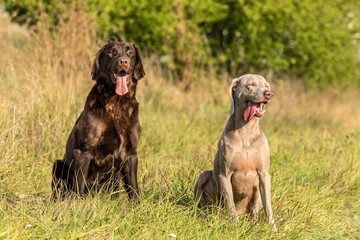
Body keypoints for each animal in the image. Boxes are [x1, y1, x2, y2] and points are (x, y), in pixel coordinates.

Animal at [51, 41, 146, 201]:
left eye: (130, 53)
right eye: (112, 53)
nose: (123, 61)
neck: (116, 102)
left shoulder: (130, 153)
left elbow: (133, 187)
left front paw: (137, 206)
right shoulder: (83, 150)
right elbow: (79, 183)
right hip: (58, 165)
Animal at [194, 73, 276, 229]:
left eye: (266, 85)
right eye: (251, 85)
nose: (269, 94)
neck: (246, 130)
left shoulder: (264, 174)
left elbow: (268, 206)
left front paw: (273, 229)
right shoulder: (224, 175)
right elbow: (230, 203)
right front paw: (234, 226)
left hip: (256, 189)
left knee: (254, 211)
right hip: (203, 176)